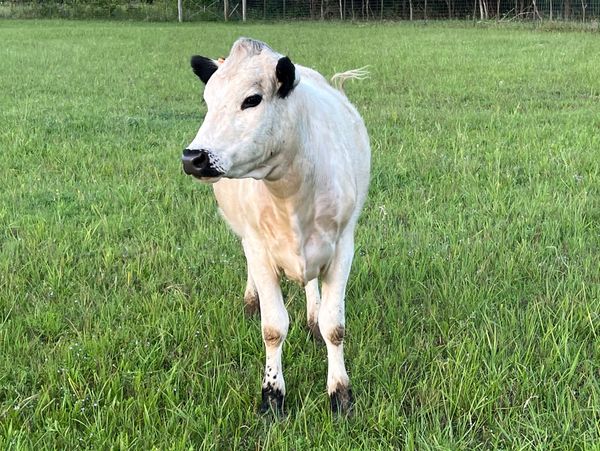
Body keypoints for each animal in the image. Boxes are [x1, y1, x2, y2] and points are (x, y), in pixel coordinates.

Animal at [183, 38, 370, 416]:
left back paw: (311, 315)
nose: (193, 157)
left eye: (252, 99)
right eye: (207, 101)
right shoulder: (258, 247)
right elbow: (272, 328)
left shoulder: (343, 245)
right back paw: (251, 299)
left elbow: (334, 327)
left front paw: (340, 392)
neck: (291, 191)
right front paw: (272, 395)